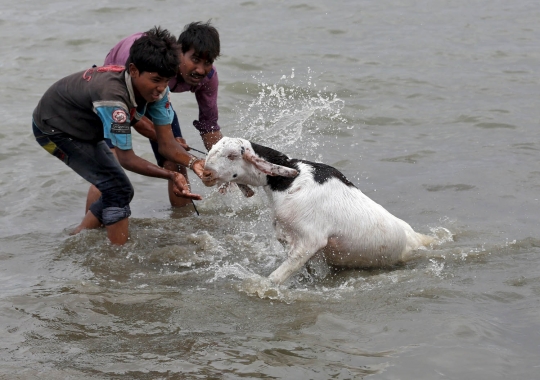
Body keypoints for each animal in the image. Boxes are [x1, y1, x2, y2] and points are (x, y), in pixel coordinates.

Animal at [202, 137, 434, 284]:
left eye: (232, 155)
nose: (206, 173)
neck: (289, 180)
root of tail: (414, 237)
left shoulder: (310, 240)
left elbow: (275, 278)